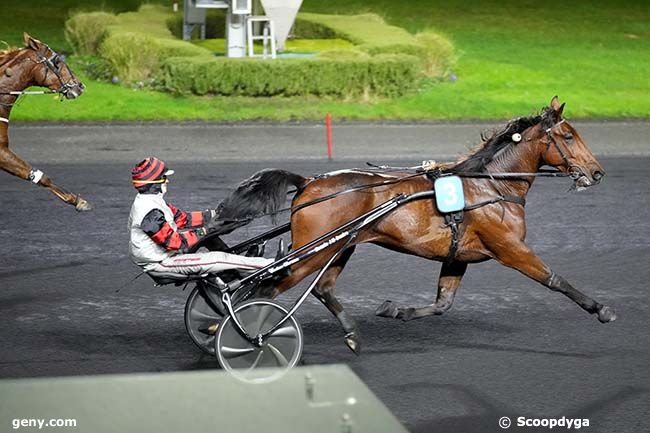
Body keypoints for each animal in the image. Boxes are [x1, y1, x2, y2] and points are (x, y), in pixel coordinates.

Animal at [221, 96, 612, 352]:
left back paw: (351, 333)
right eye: (568, 136)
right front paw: (601, 309)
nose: (596, 172)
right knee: (264, 289)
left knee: (322, 288)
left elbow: (443, 303)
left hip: (339, 247)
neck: (492, 186)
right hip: (313, 252)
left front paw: (396, 310)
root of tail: (308, 182)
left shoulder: (458, 256)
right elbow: (555, 280)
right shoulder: (510, 248)